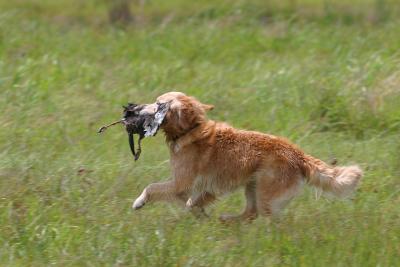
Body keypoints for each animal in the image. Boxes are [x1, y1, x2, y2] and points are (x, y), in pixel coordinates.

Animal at [132, 92, 362, 222]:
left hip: (265, 195)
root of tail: (299, 155)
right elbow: (192, 204)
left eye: (158, 103)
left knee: (269, 221)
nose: (136, 108)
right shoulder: (206, 188)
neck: (191, 130)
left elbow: (151, 187)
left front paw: (138, 202)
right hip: (253, 186)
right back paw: (227, 221)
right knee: (251, 213)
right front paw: (200, 216)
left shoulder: (181, 183)